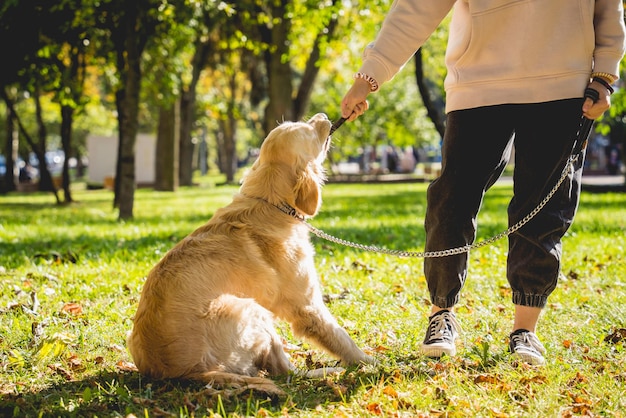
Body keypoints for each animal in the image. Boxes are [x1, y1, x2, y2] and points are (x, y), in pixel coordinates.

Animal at [125, 112, 370, 394]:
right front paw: (373, 364)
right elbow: (342, 338)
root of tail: (187, 372)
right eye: (306, 130)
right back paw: (328, 371)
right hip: (251, 308)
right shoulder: (307, 306)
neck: (271, 203)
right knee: (286, 371)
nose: (323, 115)